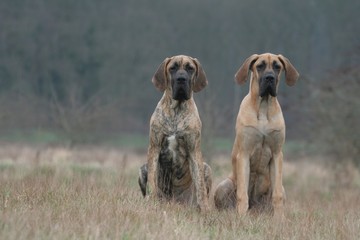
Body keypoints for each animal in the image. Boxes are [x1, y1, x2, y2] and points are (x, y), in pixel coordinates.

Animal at [138, 54, 211, 212]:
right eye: (173, 68)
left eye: (190, 68)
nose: (181, 79)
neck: (177, 109)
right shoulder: (155, 147)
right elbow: (152, 180)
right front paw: (151, 201)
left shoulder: (193, 150)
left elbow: (200, 186)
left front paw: (205, 208)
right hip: (142, 169)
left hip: (206, 168)